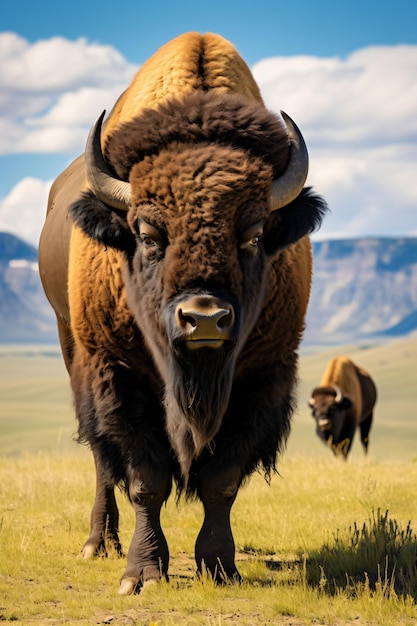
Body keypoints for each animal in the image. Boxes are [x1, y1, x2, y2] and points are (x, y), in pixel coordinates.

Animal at [37, 31, 326, 592]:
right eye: (149, 235)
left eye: (254, 235)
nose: (205, 319)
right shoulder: (118, 373)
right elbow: (144, 480)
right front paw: (142, 574)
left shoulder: (263, 376)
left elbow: (221, 482)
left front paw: (220, 566)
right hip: (72, 347)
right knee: (102, 461)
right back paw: (98, 543)